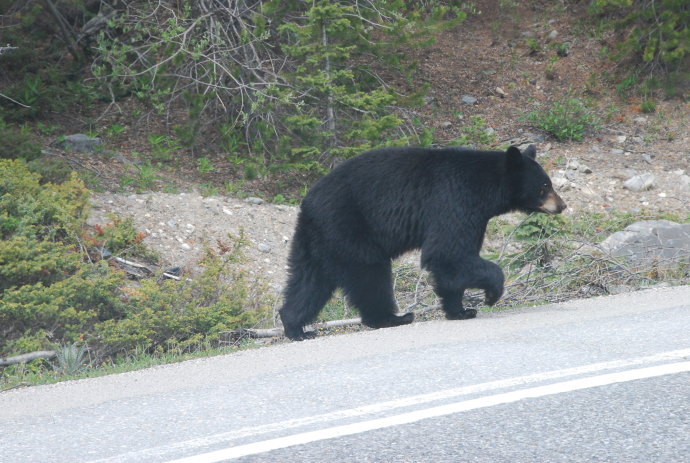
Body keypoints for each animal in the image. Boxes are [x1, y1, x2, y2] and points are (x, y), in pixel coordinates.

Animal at [280, 145, 564, 340]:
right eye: (544, 186)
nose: (562, 205)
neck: (486, 187)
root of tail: (308, 202)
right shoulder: (455, 201)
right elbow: (447, 253)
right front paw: (491, 294)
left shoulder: (473, 214)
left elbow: (452, 263)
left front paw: (459, 311)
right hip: (350, 226)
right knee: (369, 273)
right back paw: (392, 317)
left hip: (316, 239)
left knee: (309, 281)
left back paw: (295, 326)